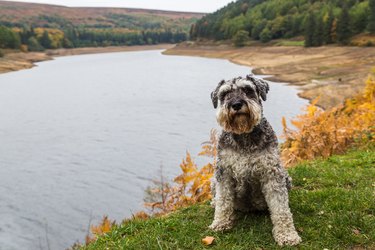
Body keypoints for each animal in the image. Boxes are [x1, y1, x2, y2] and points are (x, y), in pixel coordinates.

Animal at [209, 74, 302, 246]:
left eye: (247, 89)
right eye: (224, 94)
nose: (236, 104)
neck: (244, 135)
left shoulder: (272, 173)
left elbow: (281, 208)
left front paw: (287, 235)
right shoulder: (224, 173)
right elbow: (223, 201)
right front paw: (220, 223)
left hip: (286, 178)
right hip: (213, 180)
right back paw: (214, 202)